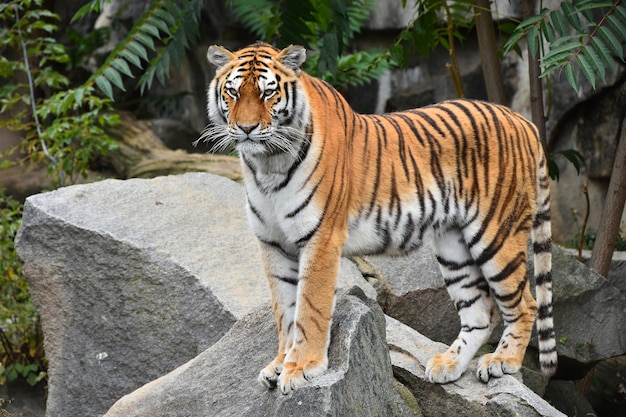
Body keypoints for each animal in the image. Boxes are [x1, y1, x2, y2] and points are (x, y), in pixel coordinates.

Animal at [201, 41, 556, 394]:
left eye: (267, 93)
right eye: (232, 92)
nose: (246, 129)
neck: (267, 164)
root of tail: (523, 121)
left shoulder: (320, 239)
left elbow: (309, 307)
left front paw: (302, 367)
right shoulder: (272, 243)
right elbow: (285, 311)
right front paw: (280, 364)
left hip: (496, 235)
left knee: (525, 304)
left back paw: (502, 362)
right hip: (453, 246)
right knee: (481, 312)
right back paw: (449, 365)